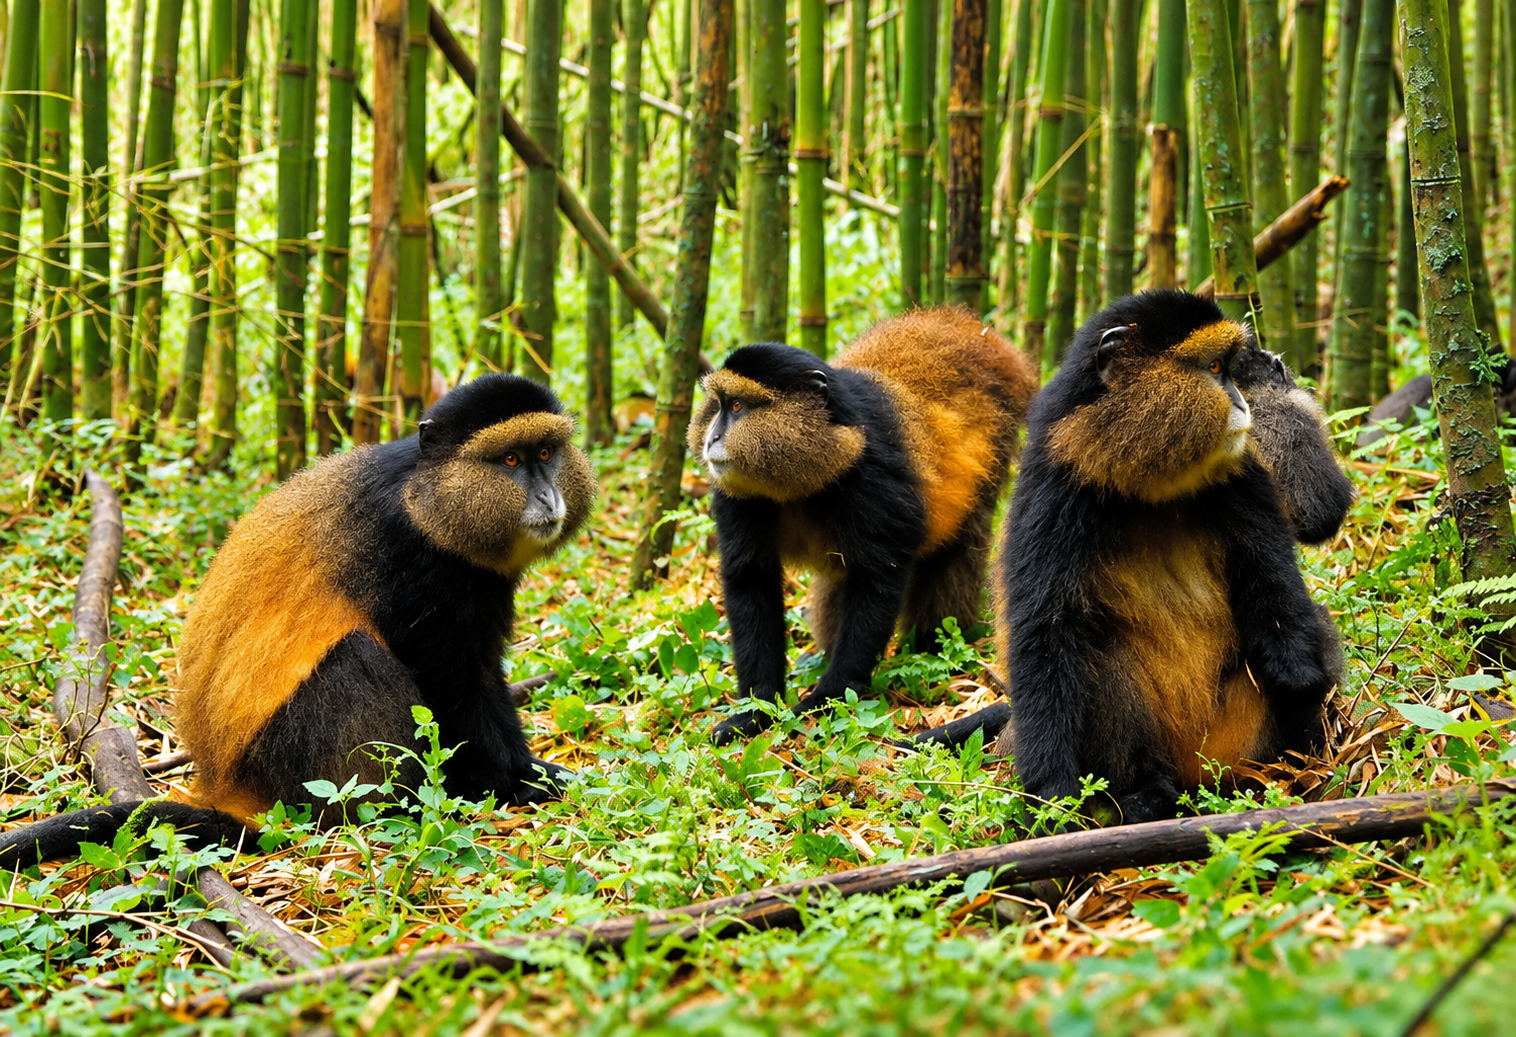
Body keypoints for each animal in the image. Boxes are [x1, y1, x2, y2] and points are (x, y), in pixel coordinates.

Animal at [0, 374, 596, 869]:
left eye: (546, 452)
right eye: (510, 461)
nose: (549, 496)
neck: (427, 499)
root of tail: (232, 792)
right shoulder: (410, 560)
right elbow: (454, 684)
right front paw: (522, 783)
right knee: (357, 657)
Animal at [687, 306, 1040, 744]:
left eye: (737, 407)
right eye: (718, 406)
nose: (712, 439)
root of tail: (976, 331)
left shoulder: (875, 478)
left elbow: (878, 579)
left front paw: (826, 698)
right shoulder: (737, 496)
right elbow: (751, 578)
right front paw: (755, 712)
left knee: (957, 549)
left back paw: (930, 645)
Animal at [977, 290, 1343, 824]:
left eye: (1228, 369)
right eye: (1214, 368)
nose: (1241, 402)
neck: (1151, 481)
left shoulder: (1244, 476)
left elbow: (1273, 580)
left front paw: (1301, 690)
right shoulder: (1053, 489)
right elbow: (1044, 630)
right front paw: (1051, 791)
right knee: (1093, 652)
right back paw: (1146, 793)